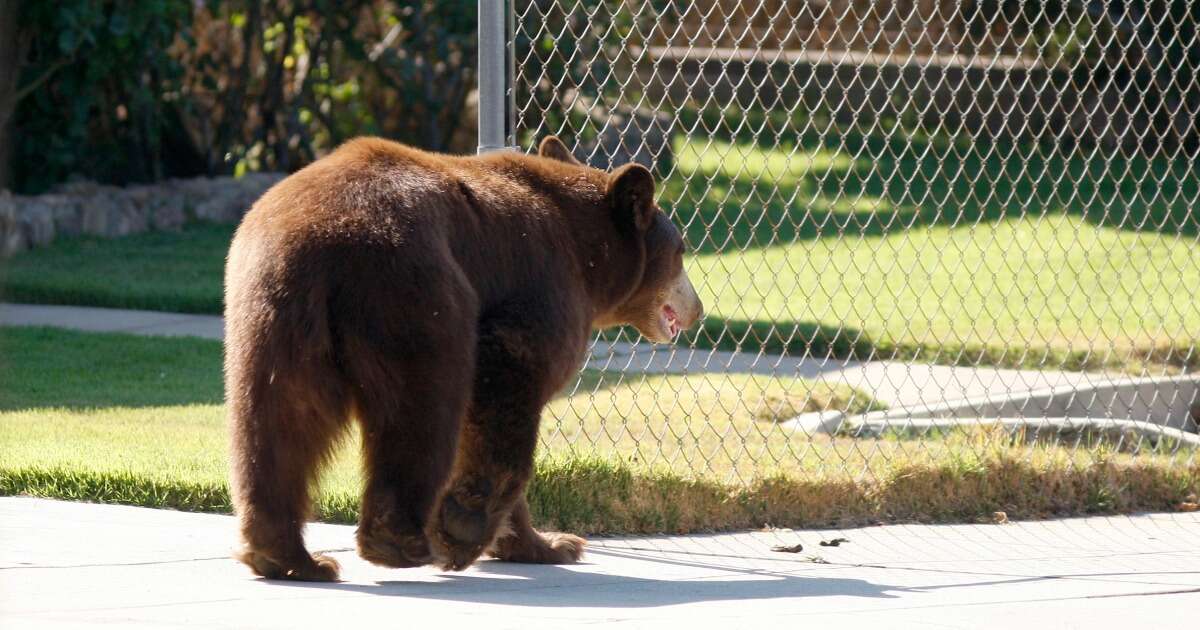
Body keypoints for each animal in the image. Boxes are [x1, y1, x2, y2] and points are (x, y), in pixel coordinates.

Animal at [225, 136, 700, 580]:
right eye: (680, 250)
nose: (696, 308)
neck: (589, 258)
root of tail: (320, 238)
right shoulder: (543, 287)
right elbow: (508, 385)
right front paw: (465, 528)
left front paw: (550, 543)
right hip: (414, 293)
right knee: (423, 406)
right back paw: (401, 542)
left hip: (272, 316)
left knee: (279, 423)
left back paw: (288, 556)